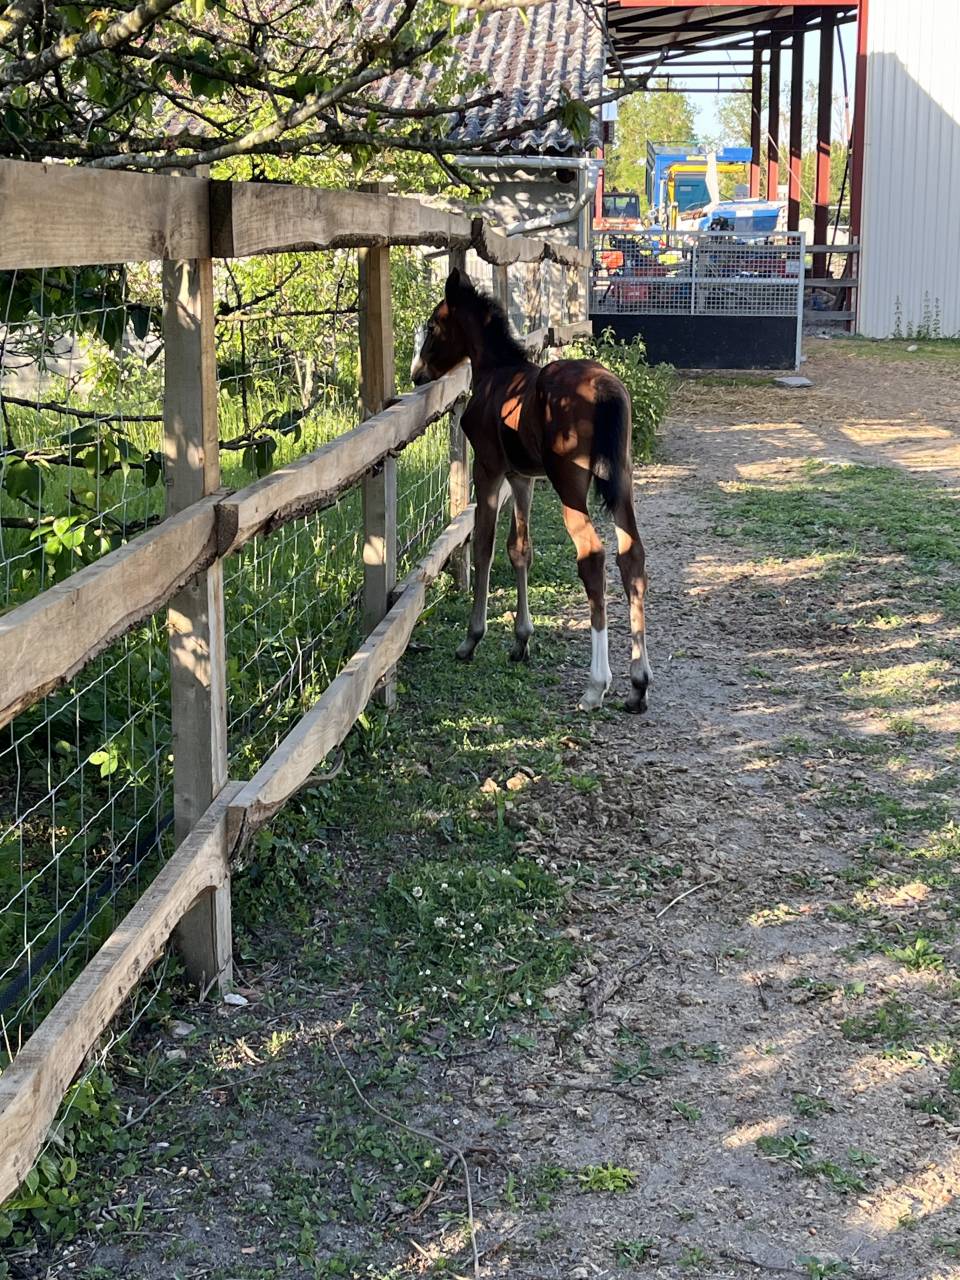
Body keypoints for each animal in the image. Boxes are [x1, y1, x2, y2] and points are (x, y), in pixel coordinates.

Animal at [411, 267, 651, 714]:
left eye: (433, 326)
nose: (418, 374)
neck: (495, 373)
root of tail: (606, 390)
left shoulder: (488, 471)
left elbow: (484, 546)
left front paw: (471, 639)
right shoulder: (523, 478)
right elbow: (520, 549)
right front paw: (521, 641)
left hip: (570, 486)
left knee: (592, 557)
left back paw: (596, 685)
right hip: (622, 483)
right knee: (632, 556)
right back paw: (638, 684)